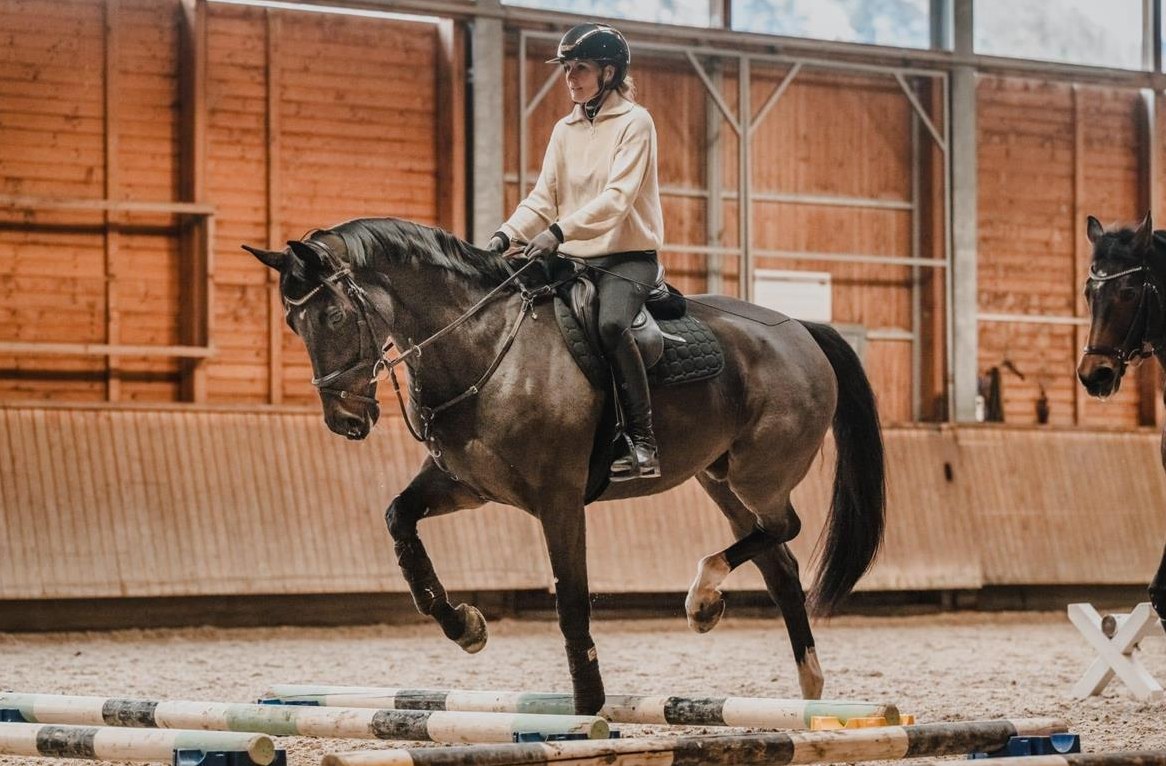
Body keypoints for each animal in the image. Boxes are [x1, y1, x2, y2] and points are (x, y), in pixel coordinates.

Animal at [244, 217, 886, 714]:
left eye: (331, 317)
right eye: (293, 324)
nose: (345, 420)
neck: (486, 346)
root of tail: (802, 331)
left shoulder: (558, 498)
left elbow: (571, 600)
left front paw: (588, 707)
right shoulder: (467, 484)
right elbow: (399, 521)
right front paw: (464, 626)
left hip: (759, 473)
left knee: (784, 529)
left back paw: (703, 597)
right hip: (720, 478)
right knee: (779, 563)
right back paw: (800, 680)